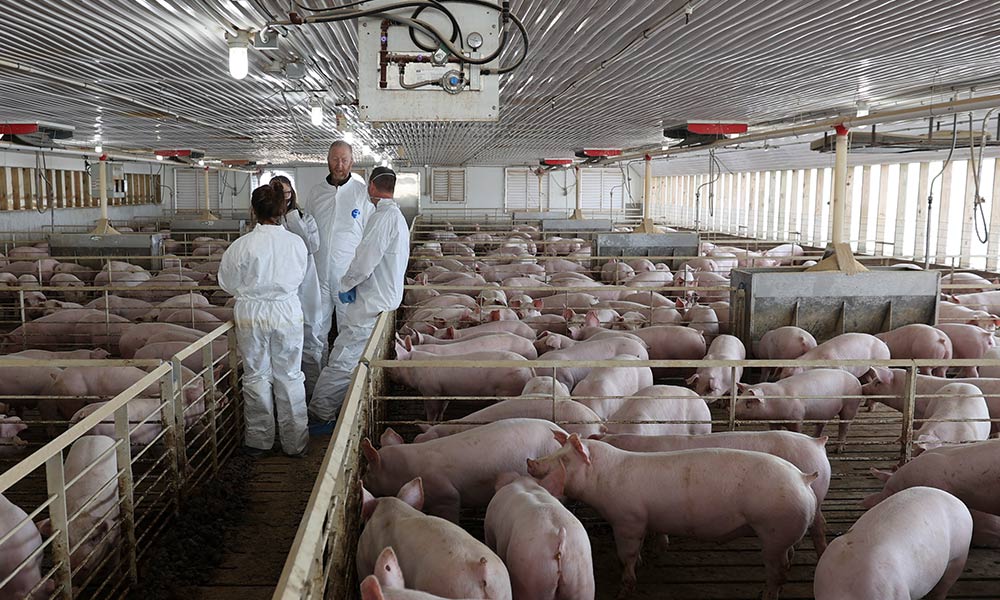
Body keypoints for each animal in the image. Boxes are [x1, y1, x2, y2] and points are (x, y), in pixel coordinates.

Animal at [732, 368, 864, 452]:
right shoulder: (773, 421)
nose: (734, 412)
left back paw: (838, 450)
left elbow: (796, 431)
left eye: (749, 403)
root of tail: (857, 381)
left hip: (850, 405)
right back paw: (814, 437)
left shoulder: (797, 417)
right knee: (821, 424)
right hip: (824, 411)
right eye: (739, 398)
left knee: (844, 426)